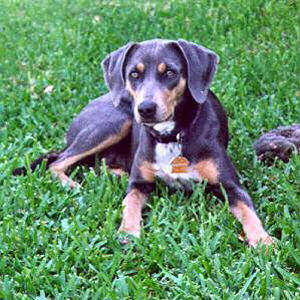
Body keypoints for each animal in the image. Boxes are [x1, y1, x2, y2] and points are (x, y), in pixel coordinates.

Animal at [13, 38, 272, 247]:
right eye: (133, 74)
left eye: (170, 72)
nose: (146, 108)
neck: (172, 135)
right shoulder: (139, 184)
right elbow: (129, 203)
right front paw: (127, 232)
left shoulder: (231, 185)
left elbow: (249, 212)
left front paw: (263, 241)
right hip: (115, 122)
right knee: (57, 163)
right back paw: (74, 185)